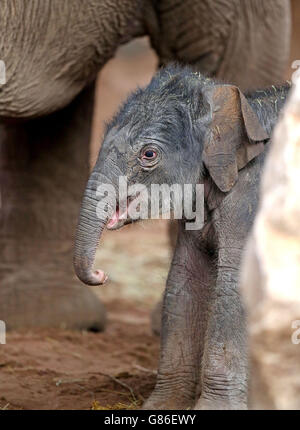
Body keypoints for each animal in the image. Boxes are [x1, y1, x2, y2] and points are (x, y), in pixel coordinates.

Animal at [72, 65, 288, 408]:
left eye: (148, 154)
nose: (101, 274)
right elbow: (185, 279)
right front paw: (161, 406)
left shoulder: (252, 199)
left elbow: (236, 282)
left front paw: (214, 408)